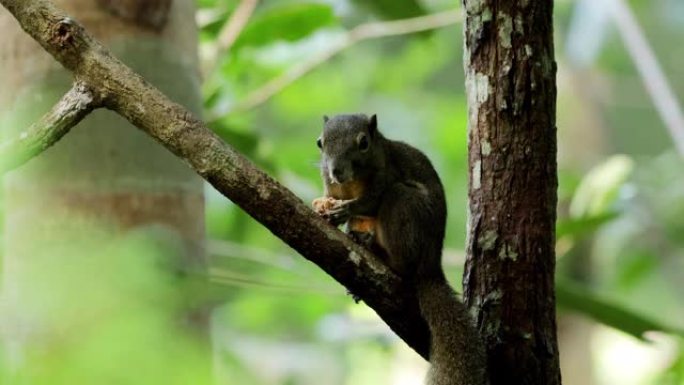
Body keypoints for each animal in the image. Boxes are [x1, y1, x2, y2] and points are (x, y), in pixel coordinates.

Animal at [312, 113, 488, 384]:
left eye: (363, 143)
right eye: (320, 143)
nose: (337, 171)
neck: (352, 182)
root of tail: (430, 266)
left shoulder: (386, 174)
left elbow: (371, 202)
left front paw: (345, 210)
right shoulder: (330, 184)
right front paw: (328, 211)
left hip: (404, 206)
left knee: (403, 261)